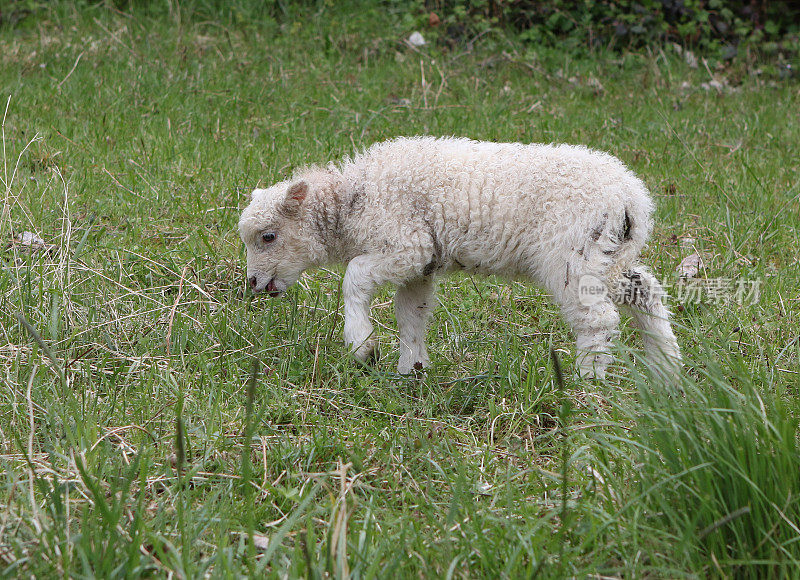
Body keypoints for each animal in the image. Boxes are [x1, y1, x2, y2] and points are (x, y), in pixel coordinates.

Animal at [239, 137, 680, 380]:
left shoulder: (405, 244)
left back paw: (588, 377)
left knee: (598, 319)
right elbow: (411, 313)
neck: (354, 199)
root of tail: (632, 199)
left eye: (268, 236)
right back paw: (667, 370)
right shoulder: (420, 263)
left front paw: (363, 346)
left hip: (572, 255)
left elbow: (354, 277)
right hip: (608, 256)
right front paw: (411, 370)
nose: (254, 284)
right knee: (645, 291)